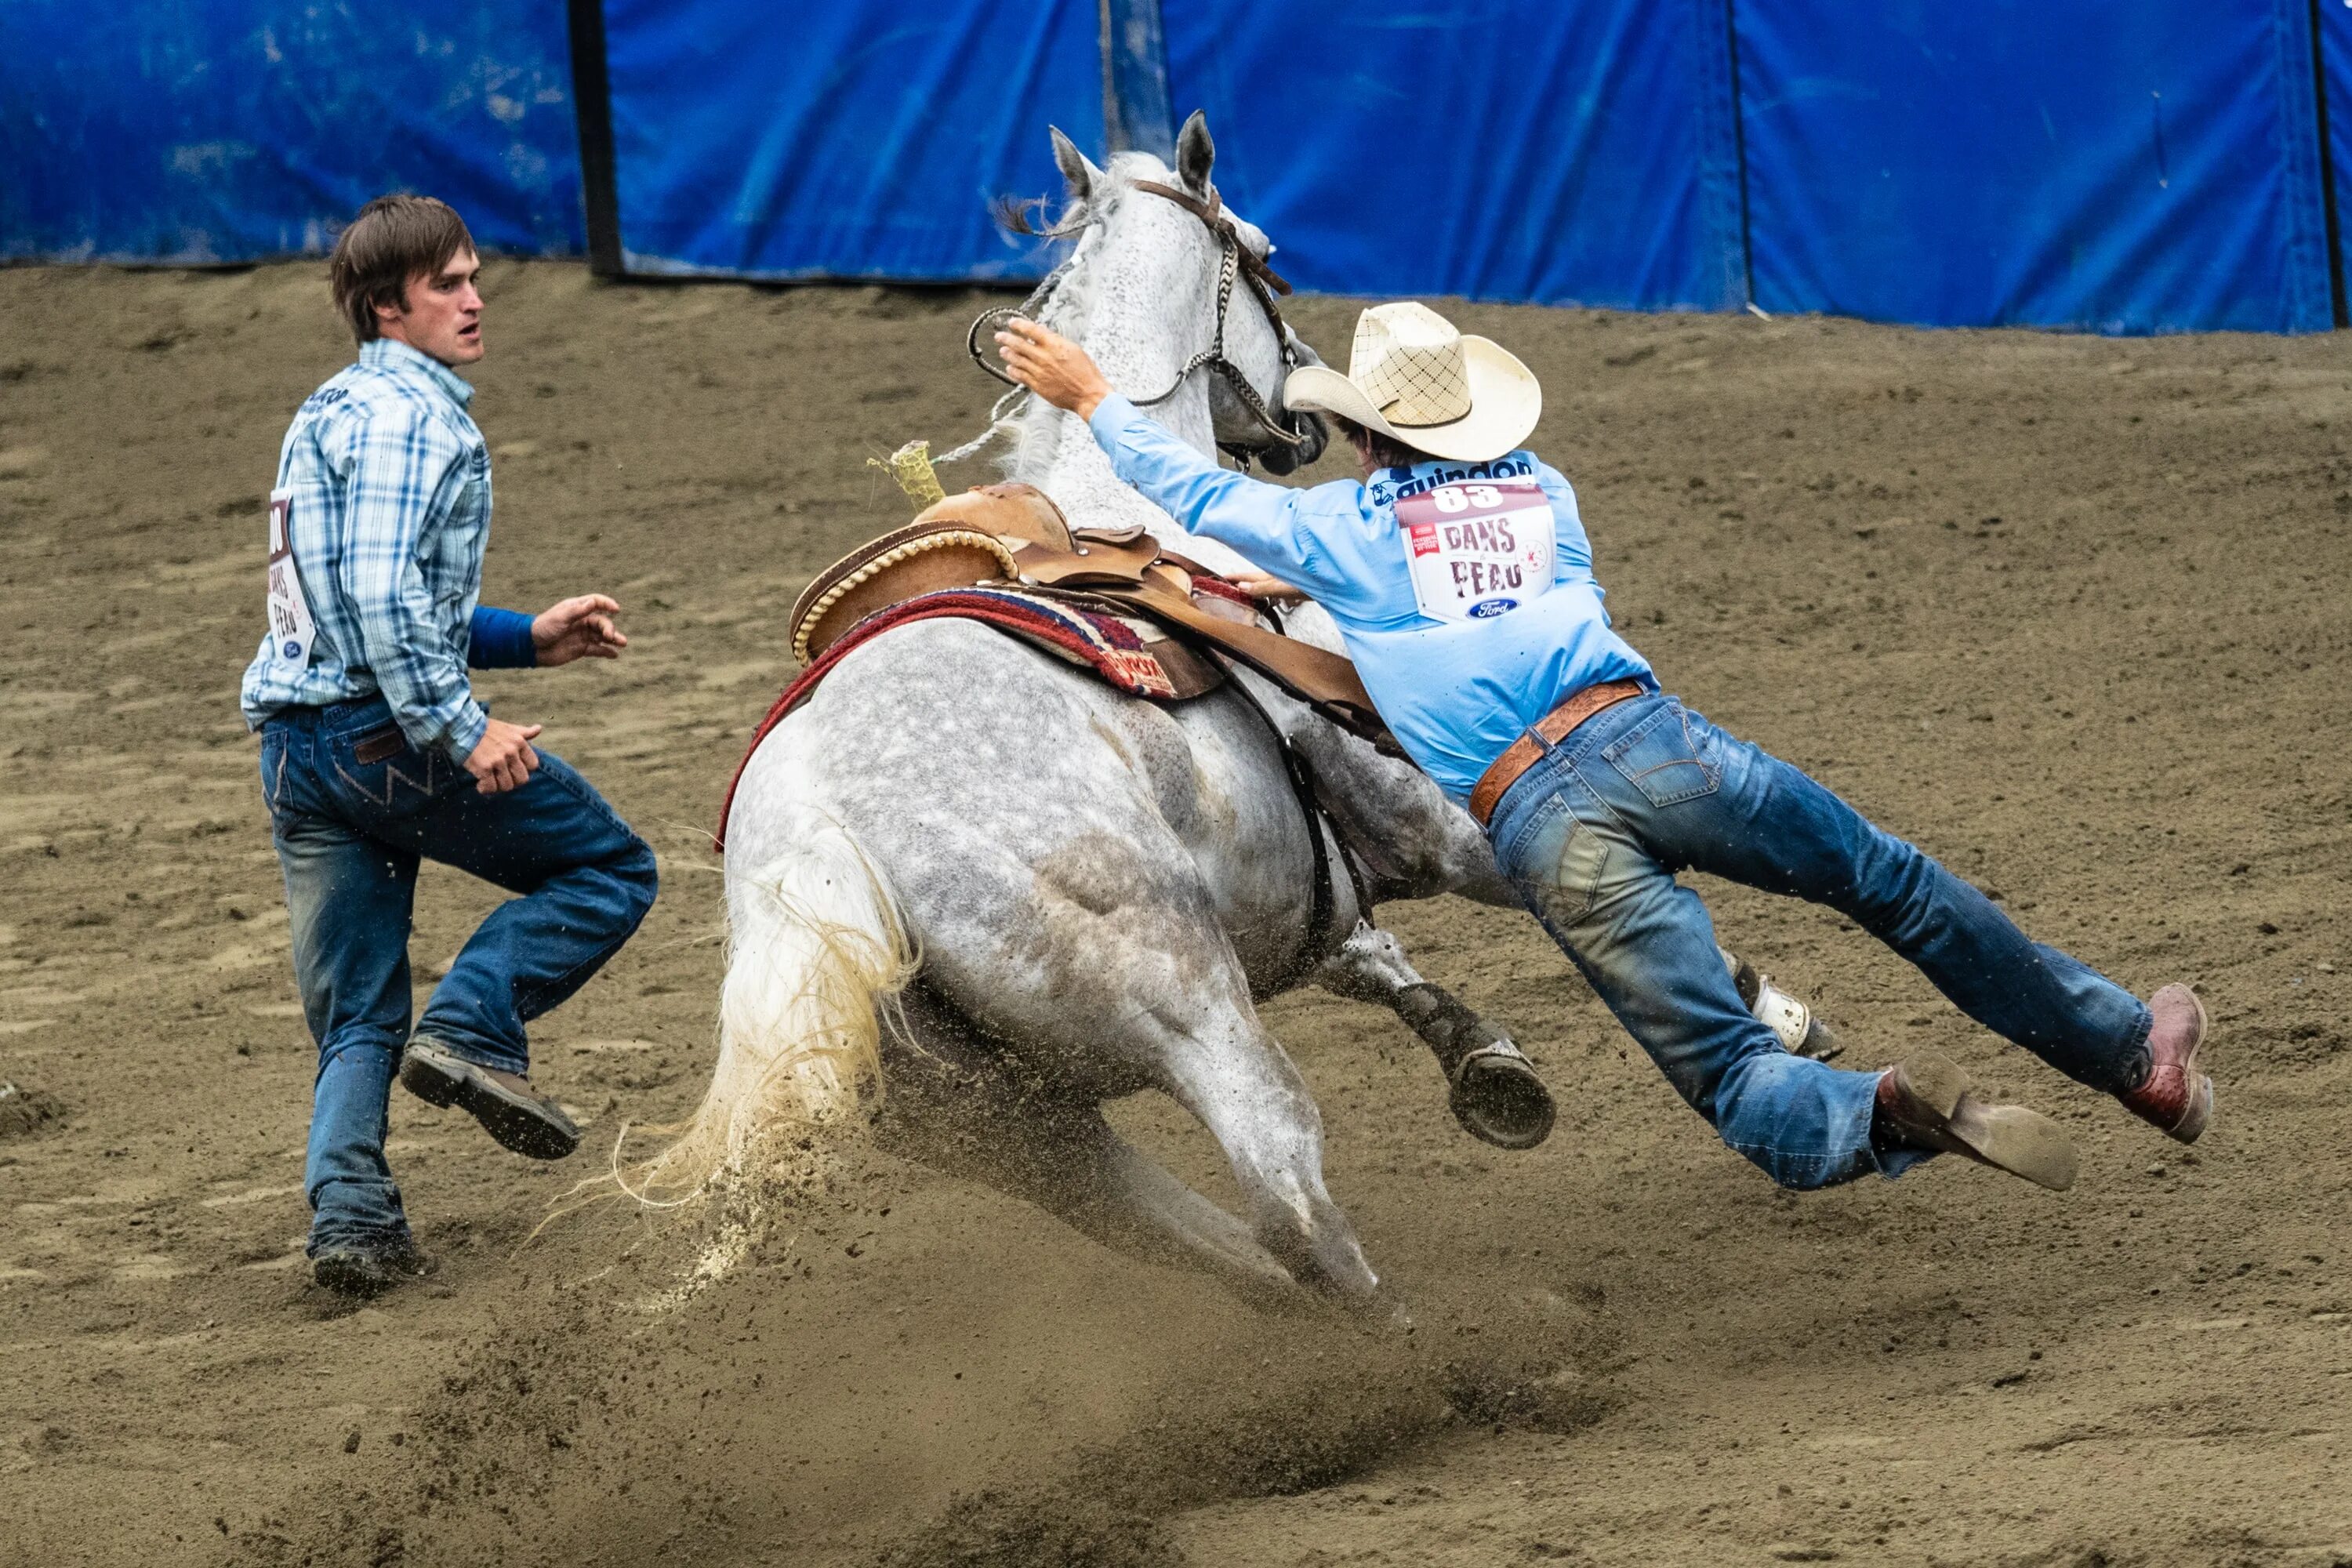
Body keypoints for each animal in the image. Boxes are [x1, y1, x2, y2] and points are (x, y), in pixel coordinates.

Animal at [654, 113, 1806, 1316]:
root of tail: (822, 842)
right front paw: (1769, 1007)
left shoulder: (1297, 882)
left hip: (1010, 1127)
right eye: (1264, 252)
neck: (1121, 506)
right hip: (1185, 1005)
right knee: (1284, 1189)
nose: (1304, 411)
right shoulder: (1442, 817)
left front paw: (1486, 1061)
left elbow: (1368, 951)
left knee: (1186, 1230)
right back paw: (1443, 1339)